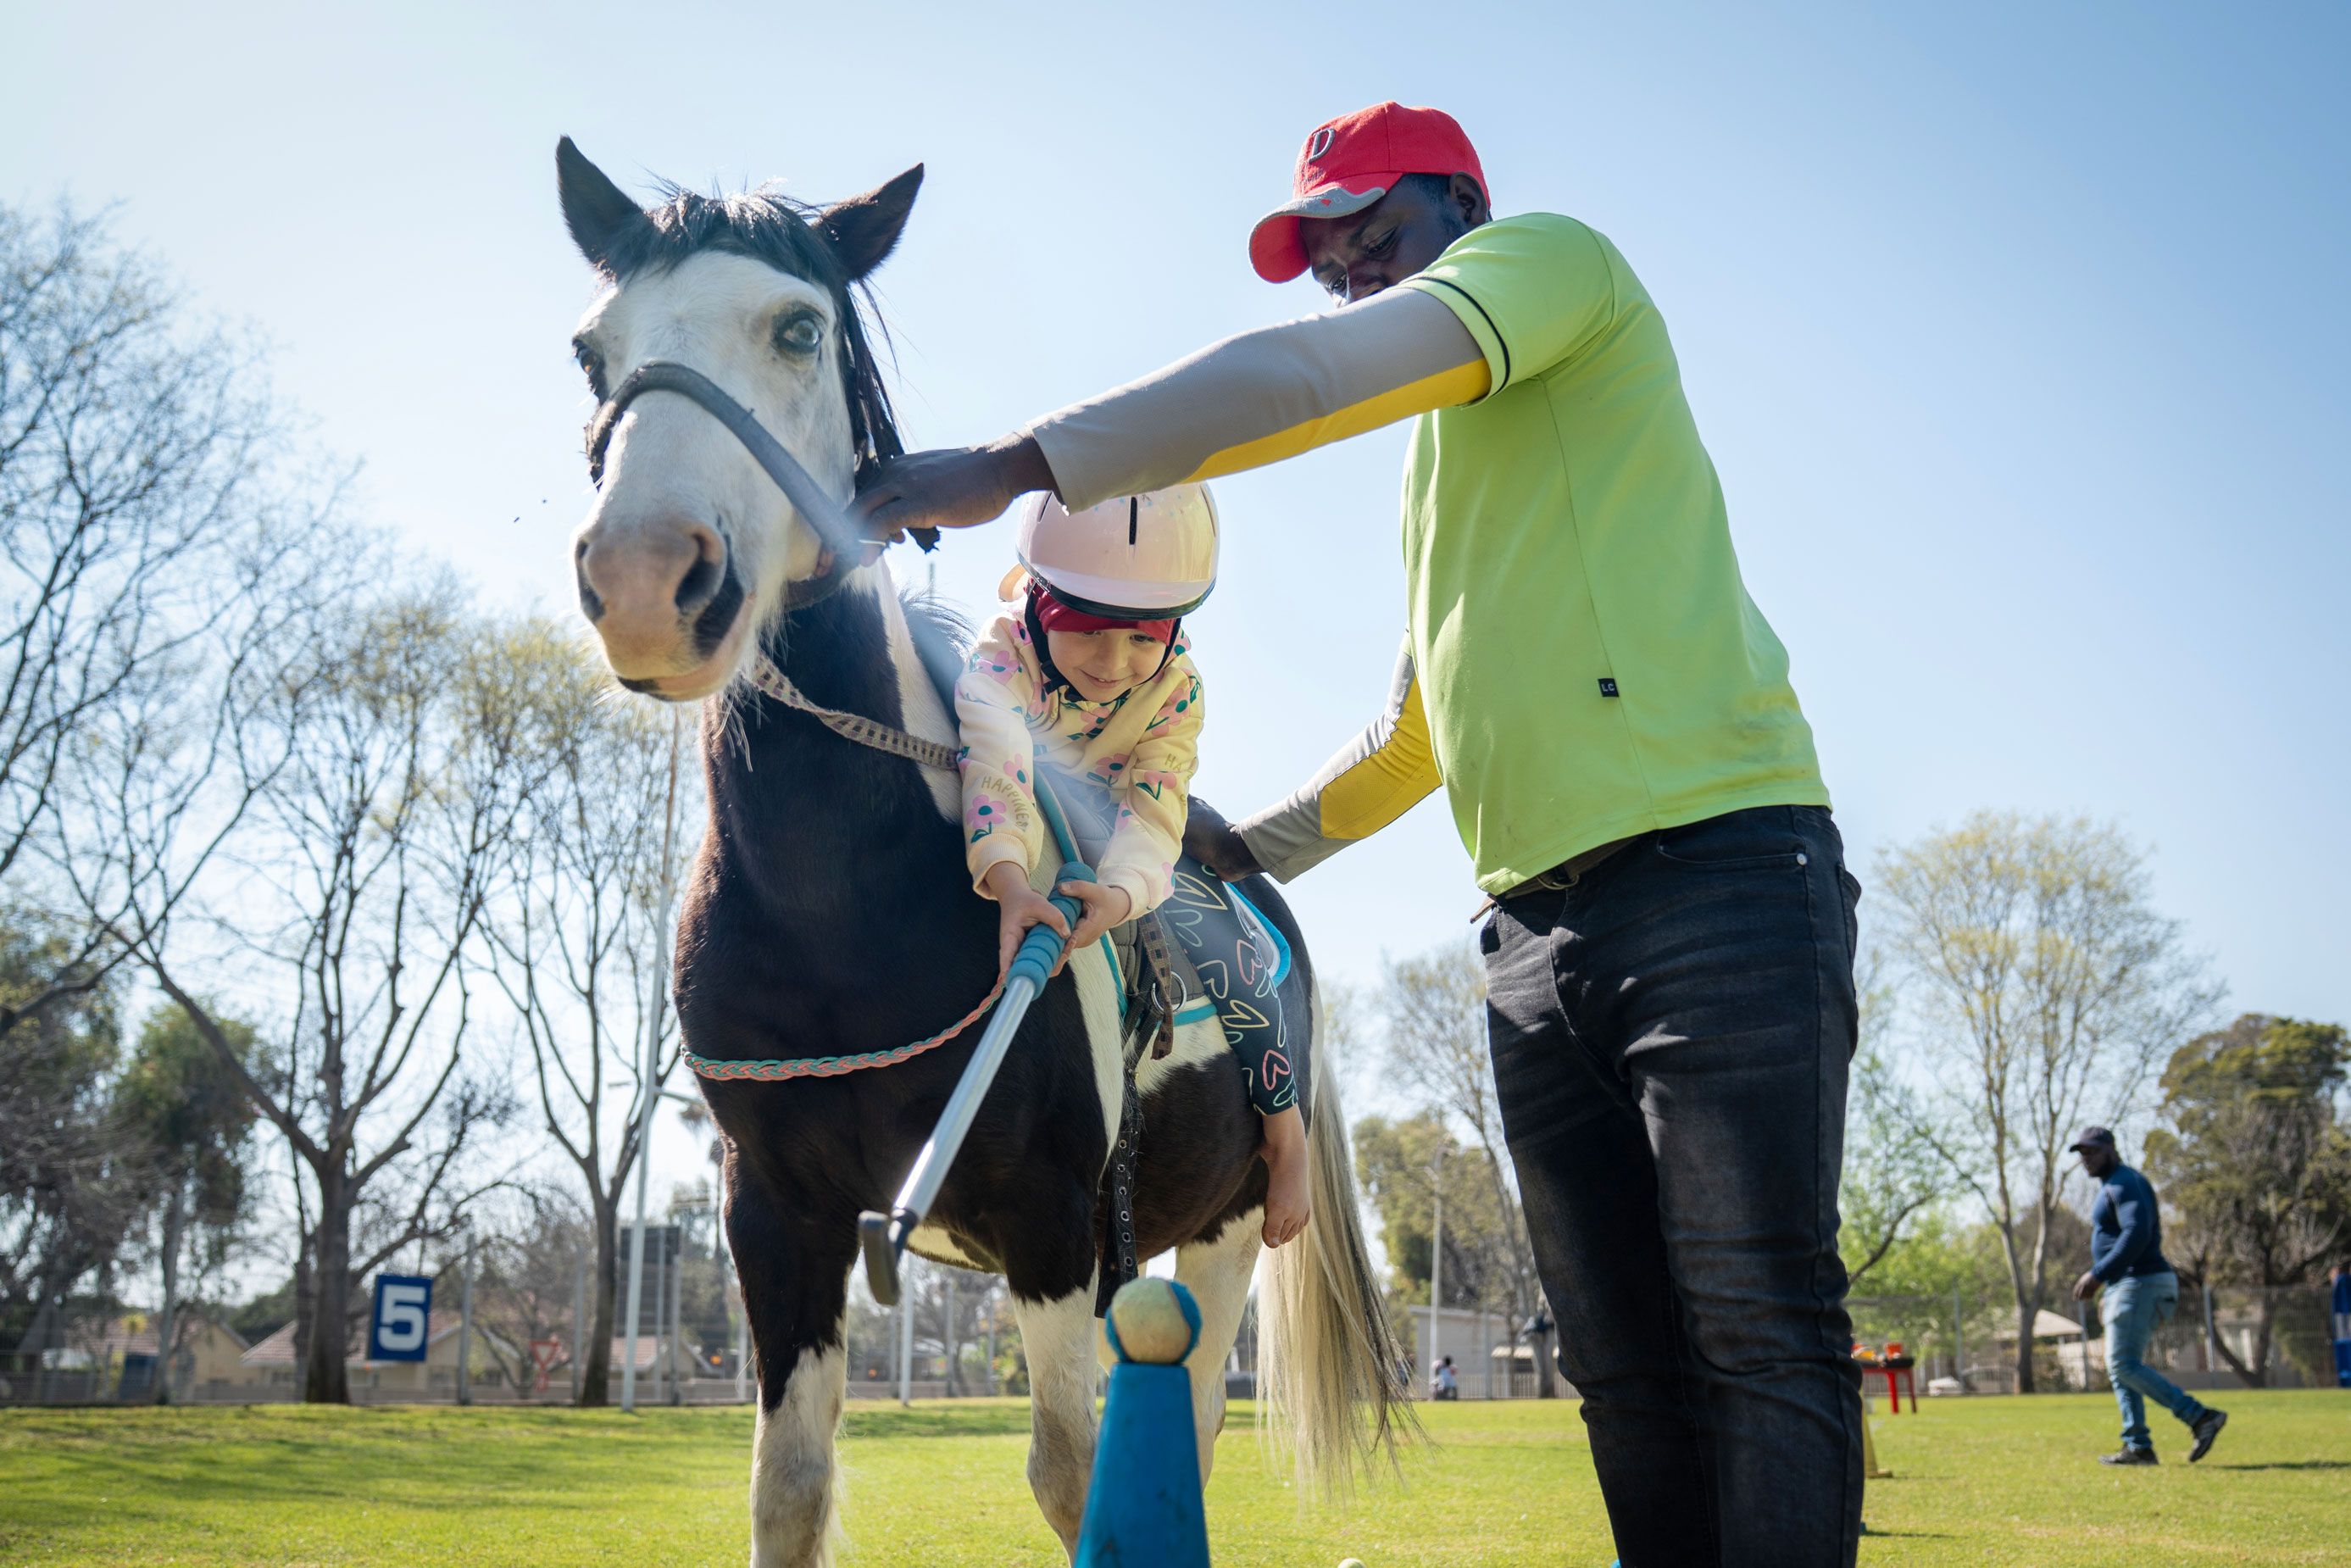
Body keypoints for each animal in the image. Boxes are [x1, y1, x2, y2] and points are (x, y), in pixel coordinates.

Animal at [552, 139, 1408, 1567]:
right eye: (590, 349)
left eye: (797, 327)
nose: (646, 580)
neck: (840, 911)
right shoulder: (772, 1219)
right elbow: (787, 1491)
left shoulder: (1051, 1220)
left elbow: (1074, 1474)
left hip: (1222, 1229)